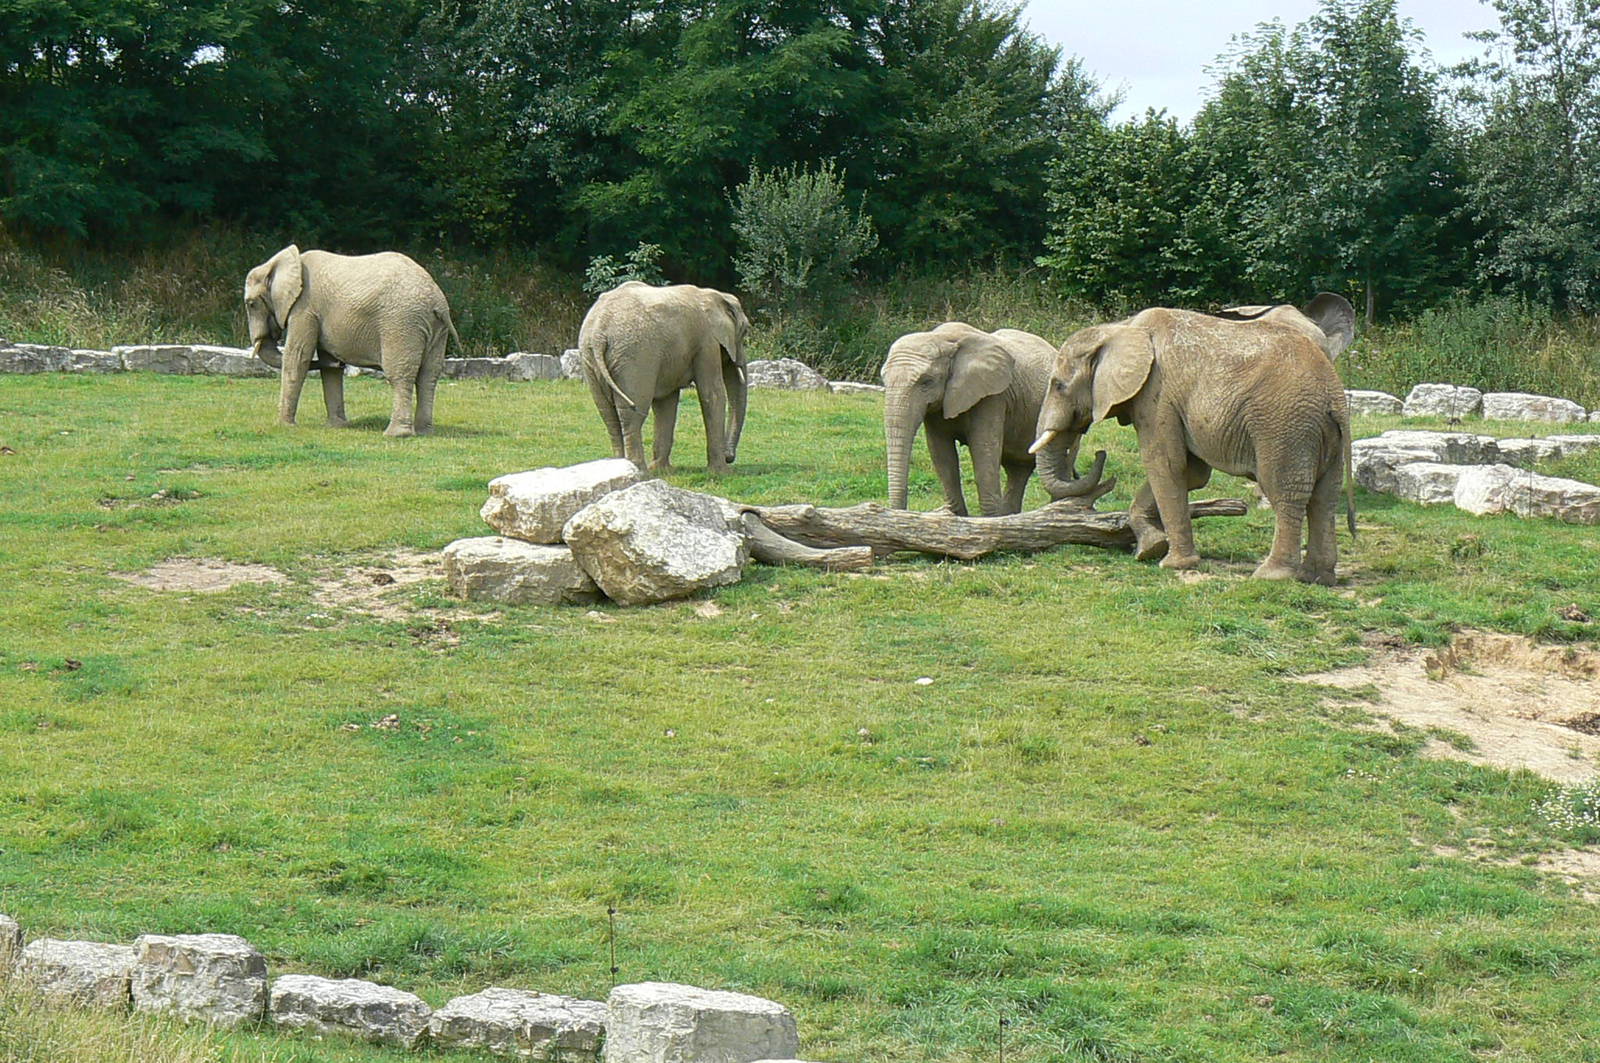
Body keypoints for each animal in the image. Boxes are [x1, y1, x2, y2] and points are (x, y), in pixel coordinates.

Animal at [244, 245, 459, 437]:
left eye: (251, 304)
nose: (341, 361)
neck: (282, 263)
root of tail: (438, 302)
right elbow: (329, 370)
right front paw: (337, 426)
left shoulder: (304, 309)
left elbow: (297, 358)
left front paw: (284, 426)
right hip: (434, 329)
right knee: (429, 376)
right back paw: (424, 432)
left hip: (402, 324)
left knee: (400, 375)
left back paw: (396, 435)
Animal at [578, 280, 750, 473]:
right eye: (745, 331)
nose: (730, 457)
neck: (715, 295)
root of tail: (598, 334)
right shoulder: (707, 341)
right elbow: (712, 394)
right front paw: (722, 473)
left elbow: (666, 402)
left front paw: (662, 469)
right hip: (636, 357)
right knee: (632, 412)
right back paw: (640, 471)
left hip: (590, 359)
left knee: (608, 415)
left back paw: (623, 468)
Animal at [880, 322, 1105, 516]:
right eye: (884, 379)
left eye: (927, 381)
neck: (942, 338)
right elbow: (941, 453)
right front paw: (956, 517)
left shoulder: (993, 396)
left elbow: (983, 449)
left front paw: (985, 521)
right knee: (1018, 469)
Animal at [1031, 308, 1354, 584]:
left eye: (1058, 385)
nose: (1100, 454)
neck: (1120, 328)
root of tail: (1333, 394)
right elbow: (1192, 473)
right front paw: (1150, 549)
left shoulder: (1157, 395)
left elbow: (1165, 464)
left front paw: (1172, 564)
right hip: (1323, 433)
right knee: (1325, 497)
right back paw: (1317, 577)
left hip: (1284, 426)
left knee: (1285, 492)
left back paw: (1271, 576)